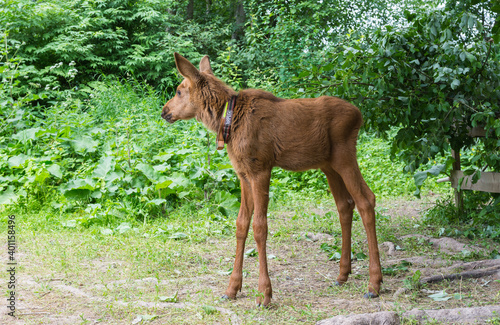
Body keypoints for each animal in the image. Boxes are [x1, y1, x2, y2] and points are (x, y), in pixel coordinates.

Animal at [161, 53, 382, 306]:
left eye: (179, 91)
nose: (164, 111)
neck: (227, 123)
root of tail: (360, 115)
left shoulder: (261, 169)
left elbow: (260, 227)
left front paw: (264, 293)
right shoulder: (243, 174)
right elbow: (241, 224)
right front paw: (232, 288)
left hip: (345, 157)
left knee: (366, 200)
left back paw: (374, 283)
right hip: (329, 166)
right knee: (345, 205)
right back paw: (343, 274)